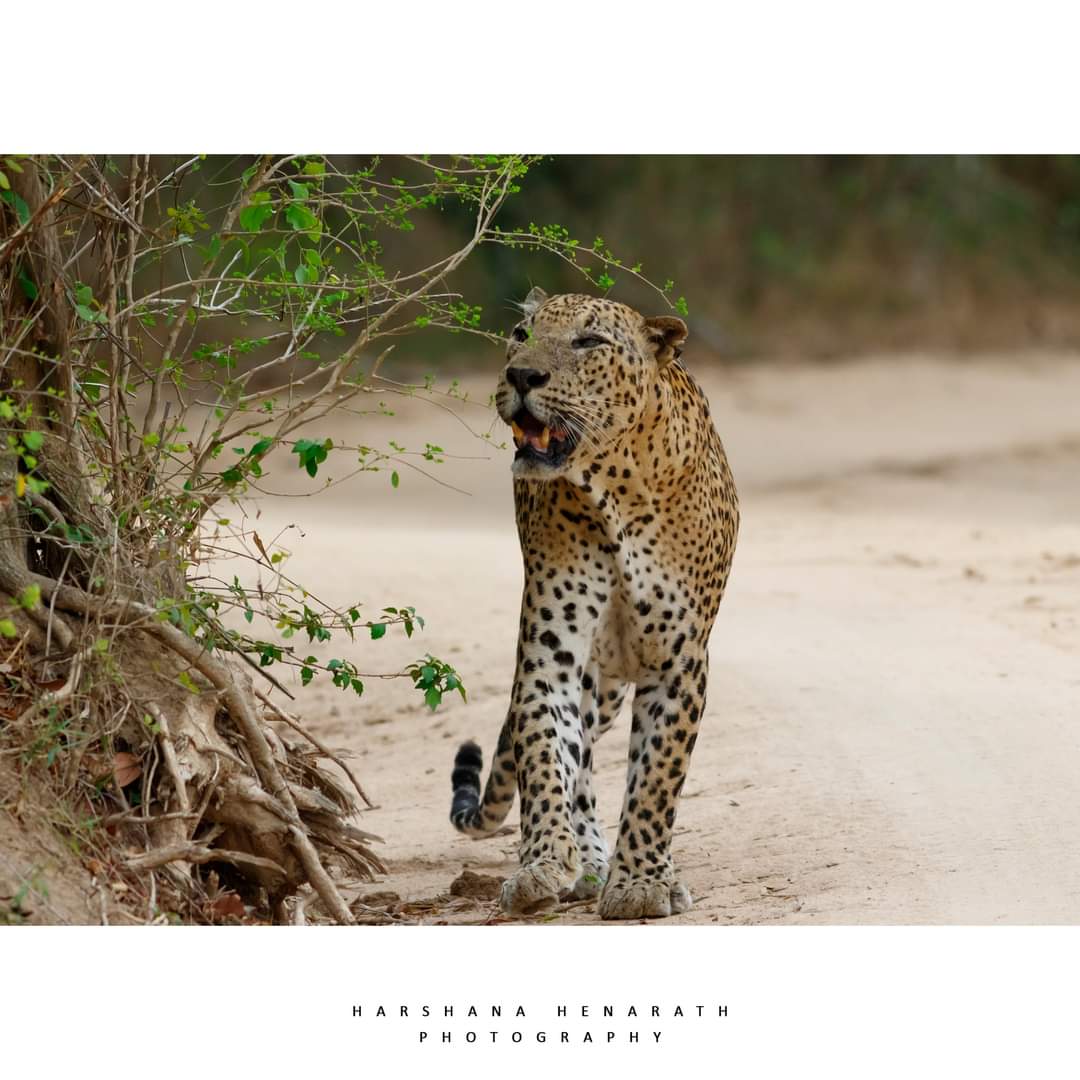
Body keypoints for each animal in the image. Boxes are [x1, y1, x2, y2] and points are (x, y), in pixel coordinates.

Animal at [442, 287, 738, 920]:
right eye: (521, 334)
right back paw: (588, 863)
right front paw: (544, 864)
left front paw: (642, 884)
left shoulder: (679, 664)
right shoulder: (550, 656)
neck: (615, 490)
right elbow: (544, 758)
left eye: (588, 341)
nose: (521, 375)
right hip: (592, 686)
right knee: (574, 764)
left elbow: (655, 780)